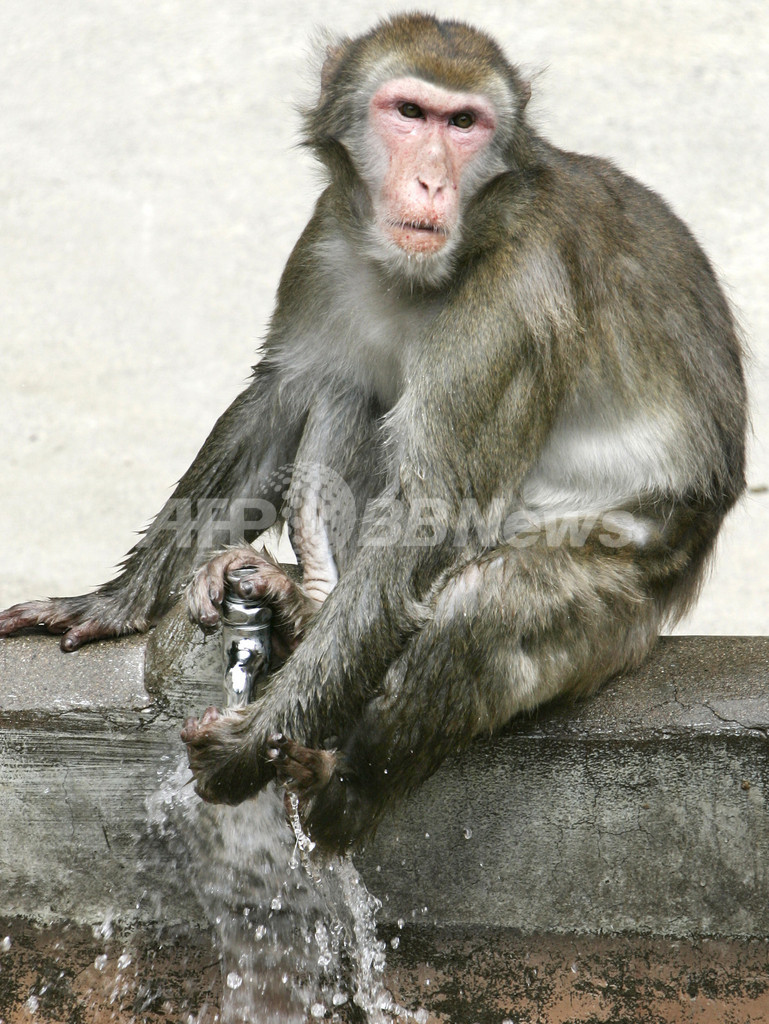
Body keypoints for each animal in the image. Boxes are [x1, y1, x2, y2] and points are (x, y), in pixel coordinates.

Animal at [0, 16, 745, 851]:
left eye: (464, 124)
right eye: (410, 113)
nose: (430, 183)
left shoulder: (514, 300)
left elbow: (432, 515)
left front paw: (251, 744)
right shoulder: (326, 235)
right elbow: (281, 394)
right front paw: (113, 602)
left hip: (628, 591)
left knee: (483, 604)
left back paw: (341, 795)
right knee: (343, 390)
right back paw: (305, 607)